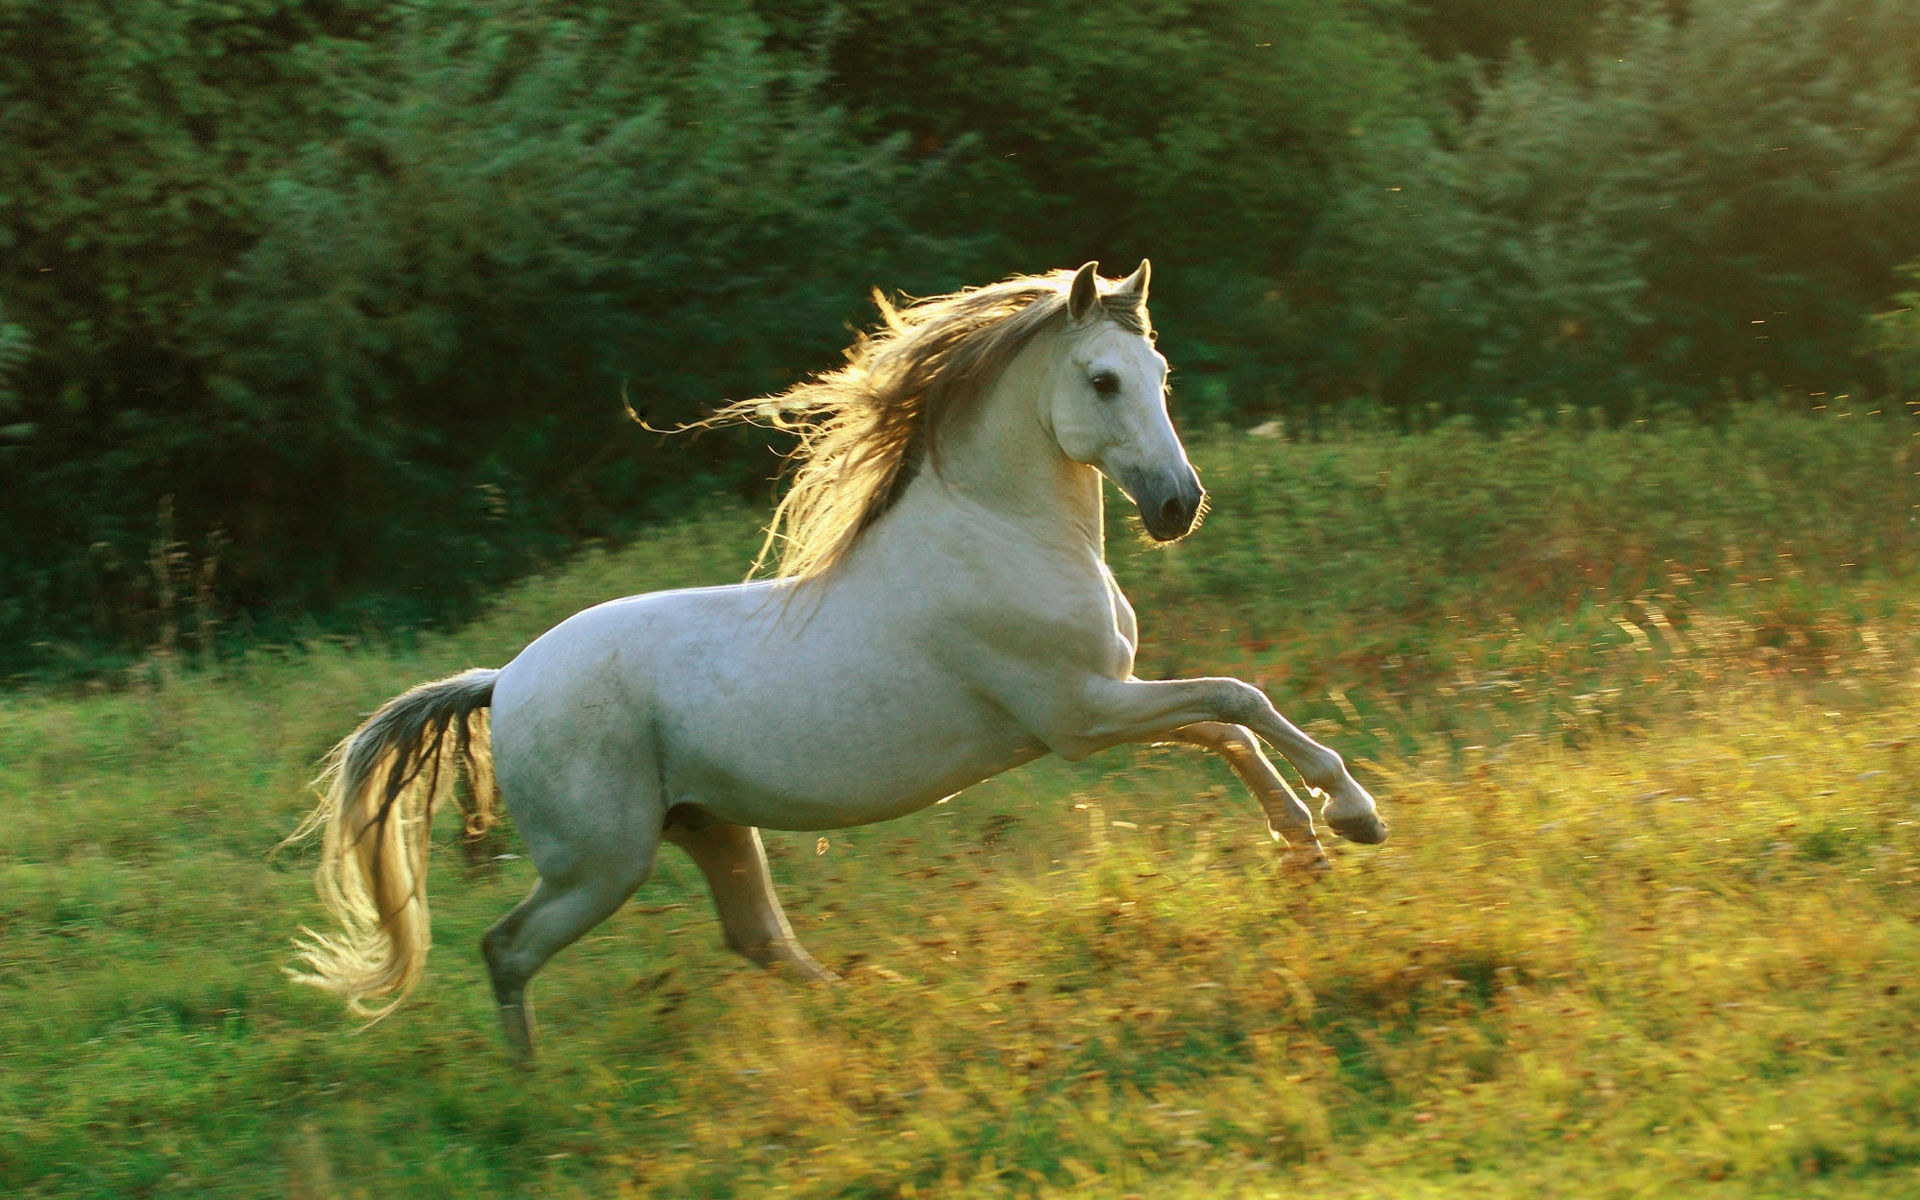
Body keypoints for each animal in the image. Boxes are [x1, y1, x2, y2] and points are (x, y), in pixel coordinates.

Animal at [283, 261, 1388, 1062]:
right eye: (1103, 380)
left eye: (1160, 378)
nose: (1176, 506)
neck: (999, 533)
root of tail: (503, 681)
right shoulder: (1080, 715)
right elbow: (1239, 700)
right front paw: (1352, 813)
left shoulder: (1103, 705)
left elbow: (1228, 728)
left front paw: (1307, 844)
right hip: (601, 862)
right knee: (507, 948)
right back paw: (533, 1084)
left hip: (707, 827)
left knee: (756, 939)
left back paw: (867, 1012)